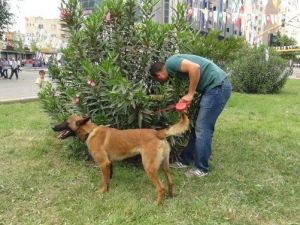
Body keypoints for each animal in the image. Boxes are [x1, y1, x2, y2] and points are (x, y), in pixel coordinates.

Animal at [52, 113, 189, 203]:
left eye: (66, 122)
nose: (53, 127)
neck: (90, 131)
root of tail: (158, 133)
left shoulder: (103, 163)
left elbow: (104, 180)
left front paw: (102, 191)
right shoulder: (108, 163)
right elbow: (108, 178)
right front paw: (107, 189)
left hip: (149, 168)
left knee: (161, 188)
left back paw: (157, 204)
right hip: (165, 166)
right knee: (170, 182)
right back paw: (171, 197)